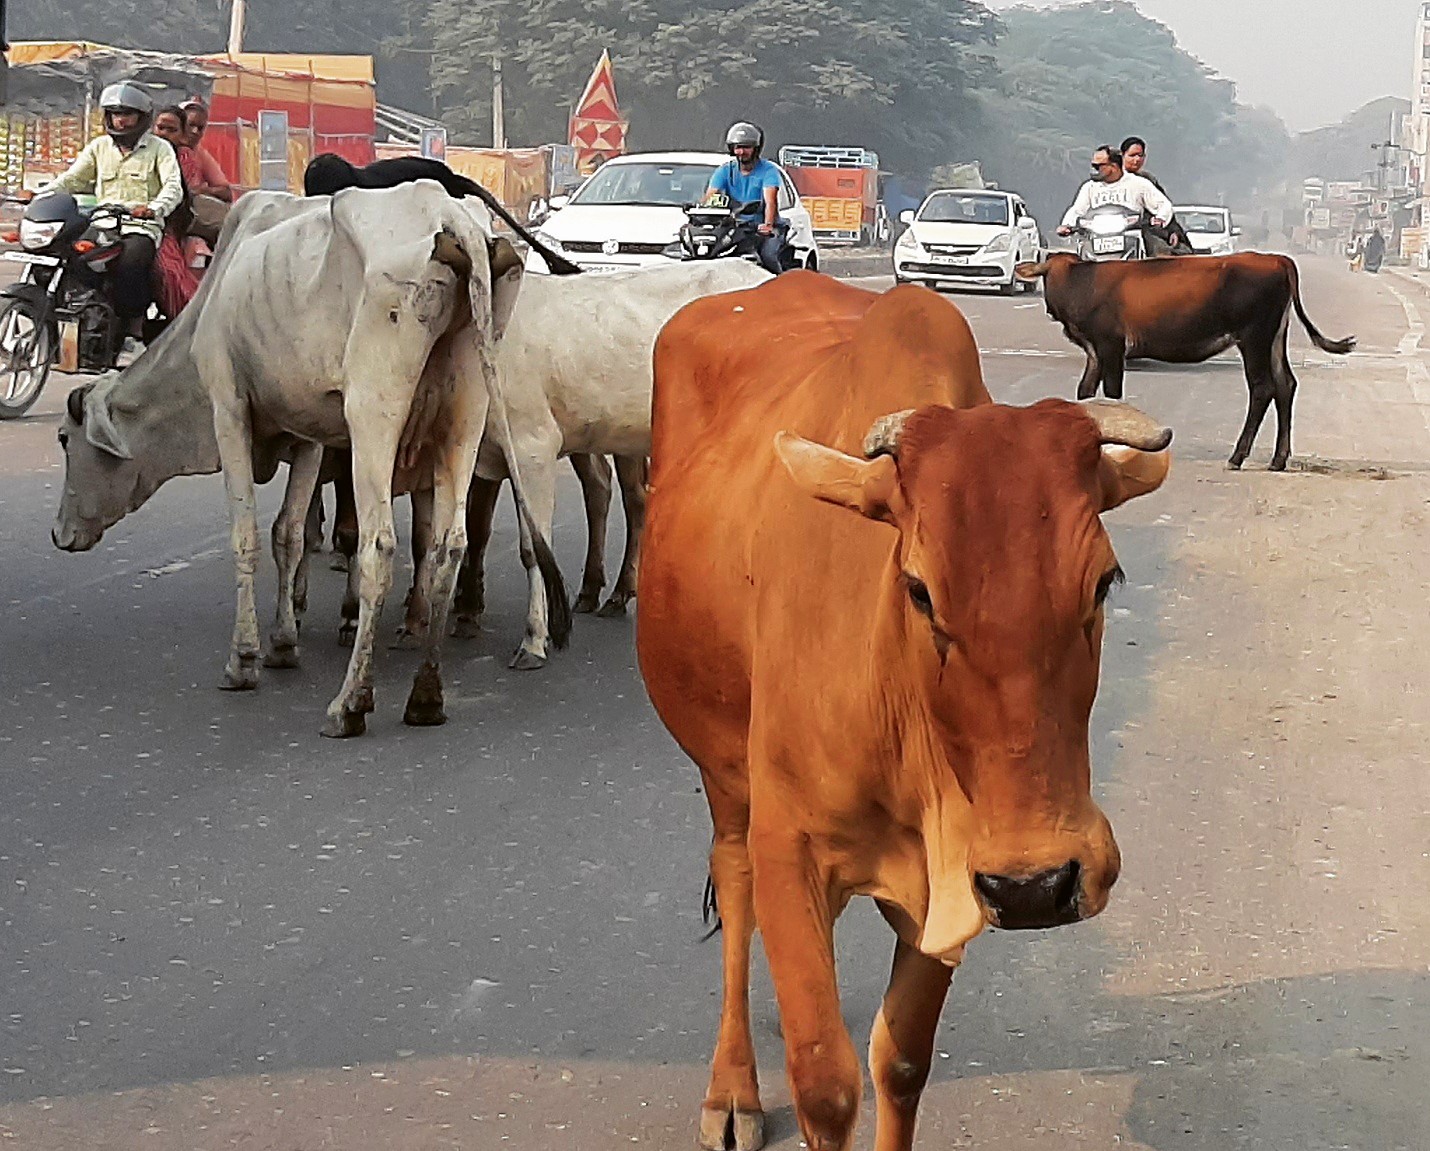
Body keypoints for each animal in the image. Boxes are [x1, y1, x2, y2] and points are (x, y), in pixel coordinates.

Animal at [636, 272, 1173, 1151]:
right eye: (918, 588)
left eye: (1104, 580)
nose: (1038, 884)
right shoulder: (788, 841)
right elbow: (825, 1085)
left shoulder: (949, 877)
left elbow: (900, 1060)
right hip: (722, 771)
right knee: (736, 883)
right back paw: (733, 1087)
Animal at [1015, 251, 1354, 470]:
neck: (1081, 283)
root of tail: (1277, 259)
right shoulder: (1095, 352)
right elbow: (1086, 393)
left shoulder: (1111, 346)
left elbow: (1111, 395)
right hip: (1274, 338)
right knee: (1286, 385)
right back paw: (1278, 459)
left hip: (1254, 337)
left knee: (1262, 389)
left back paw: (1237, 457)